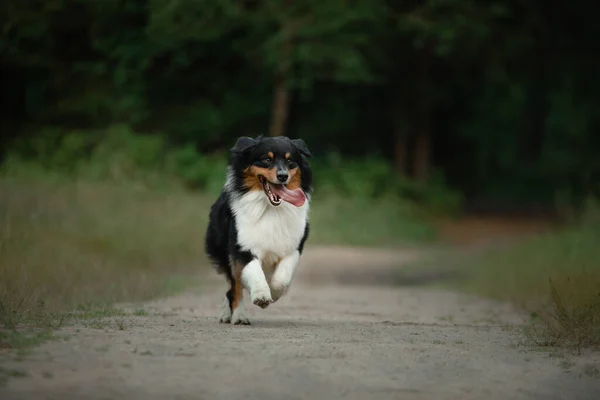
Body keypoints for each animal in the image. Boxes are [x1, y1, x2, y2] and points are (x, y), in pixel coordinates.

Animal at [205, 134, 312, 324]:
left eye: (290, 161)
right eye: (266, 159)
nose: (283, 176)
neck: (270, 208)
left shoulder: (293, 246)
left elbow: (282, 277)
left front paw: (274, 293)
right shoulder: (242, 248)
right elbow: (253, 272)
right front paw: (261, 295)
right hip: (224, 252)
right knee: (233, 287)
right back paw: (236, 316)